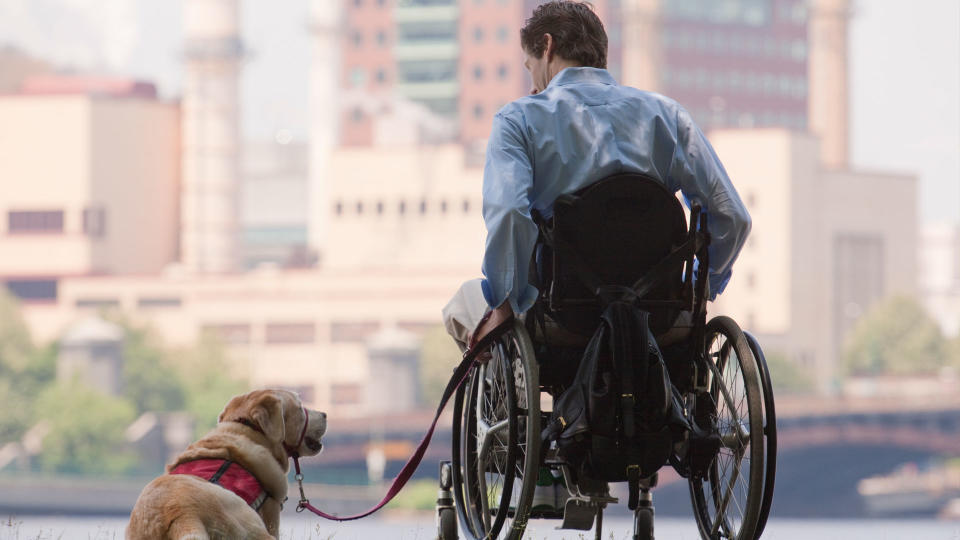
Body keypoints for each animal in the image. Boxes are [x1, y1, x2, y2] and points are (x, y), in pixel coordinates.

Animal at [126, 388, 326, 540]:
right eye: (300, 407)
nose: (325, 414)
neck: (248, 430)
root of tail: (181, 515)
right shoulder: (271, 511)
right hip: (251, 526)